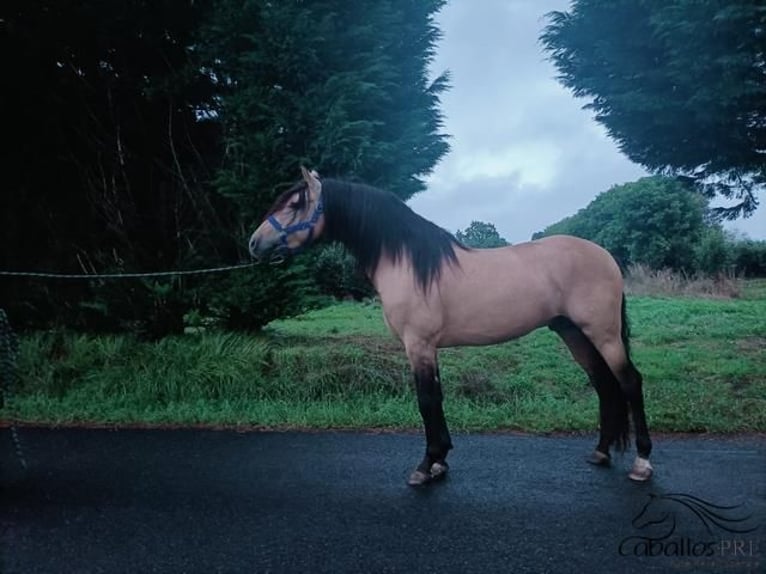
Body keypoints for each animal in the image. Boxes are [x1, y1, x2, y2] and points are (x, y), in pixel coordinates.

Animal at [250, 169, 656, 488]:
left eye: (294, 204)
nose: (254, 243)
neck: (408, 262)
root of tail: (605, 256)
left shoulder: (418, 344)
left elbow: (426, 400)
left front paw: (425, 466)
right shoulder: (427, 348)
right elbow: (438, 398)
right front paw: (440, 461)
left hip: (603, 333)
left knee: (629, 382)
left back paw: (642, 463)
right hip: (574, 333)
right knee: (604, 385)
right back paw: (601, 453)